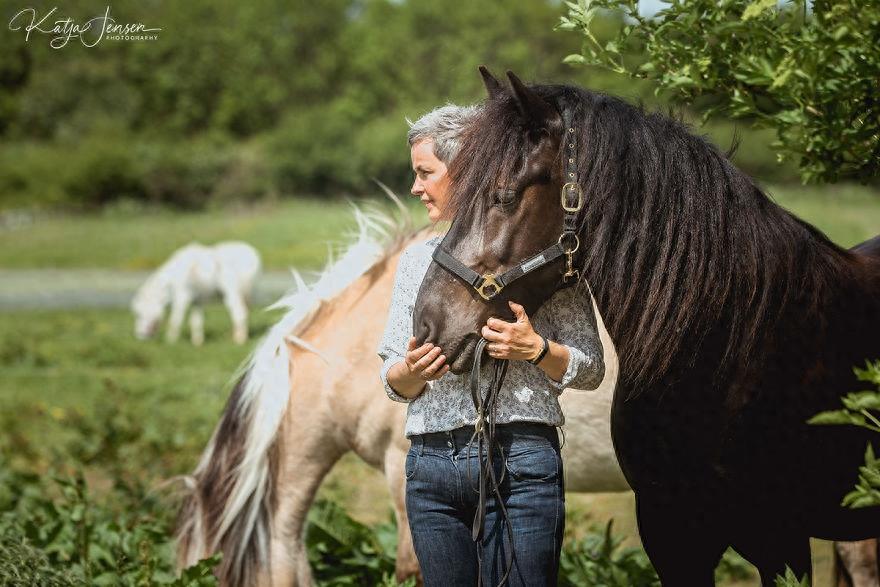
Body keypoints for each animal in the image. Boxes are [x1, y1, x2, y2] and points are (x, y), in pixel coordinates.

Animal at [131, 242, 262, 346]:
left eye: (139, 314)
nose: (140, 336)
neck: (174, 277)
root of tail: (253, 255)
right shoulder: (197, 301)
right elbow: (196, 321)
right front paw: (197, 342)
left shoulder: (182, 297)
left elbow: (176, 319)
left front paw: (171, 341)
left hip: (232, 293)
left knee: (239, 313)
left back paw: (239, 340)